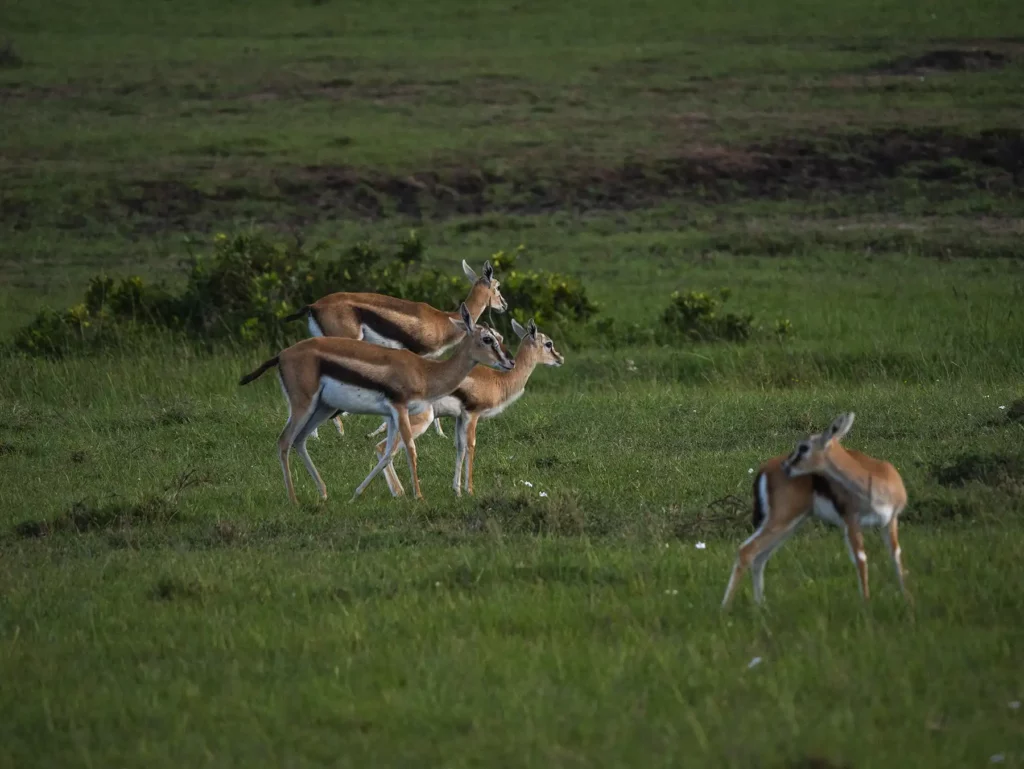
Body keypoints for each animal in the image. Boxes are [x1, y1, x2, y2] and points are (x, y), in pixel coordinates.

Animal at [239, 303, 515, 504]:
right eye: (488, 339)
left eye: (500, 337)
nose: (509, 362)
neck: (425, 372)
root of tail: (282, 354)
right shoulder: (400, 408)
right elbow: (410, 449)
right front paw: (418, 496)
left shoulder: (392, 415)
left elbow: (388, 453)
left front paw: (359, 494)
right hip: (303, 405)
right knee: (284, 441)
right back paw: (294, 500)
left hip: (323, 408)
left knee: (299, 440)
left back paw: (323, 493)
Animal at [374, 318, 564, 497]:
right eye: (549, 343)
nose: (560, 359)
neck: (498, 381)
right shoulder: (473, 414)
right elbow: (470, 446)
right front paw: (469, 490)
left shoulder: (460, 417)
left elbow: (460, 447)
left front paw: (457, 490)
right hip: (418, 423)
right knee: (382, 447)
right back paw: (399, 492)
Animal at [721, 412, 909, 608]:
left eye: (803, 447)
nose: (786, 466)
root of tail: (765, 468)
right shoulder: (851, 521)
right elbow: (861, 558)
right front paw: (866, 605)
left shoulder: (890, 521)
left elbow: (896, 556)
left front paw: (908, 602)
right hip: (783, 519)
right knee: (747, 550)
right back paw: (726, 608)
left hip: (791, 523)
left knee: (760, 557)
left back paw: (761, 607)